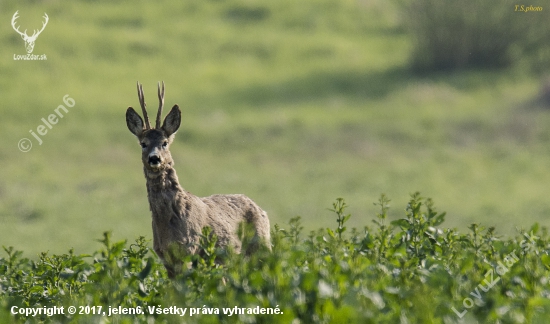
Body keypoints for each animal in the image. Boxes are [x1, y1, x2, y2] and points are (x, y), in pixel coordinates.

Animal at [125, 82, 272, 278]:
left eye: (164, 142)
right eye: (143, 143)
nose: (154, 158)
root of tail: (260, 208)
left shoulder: (189, 248)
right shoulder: (165, 257)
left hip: (262, 244)